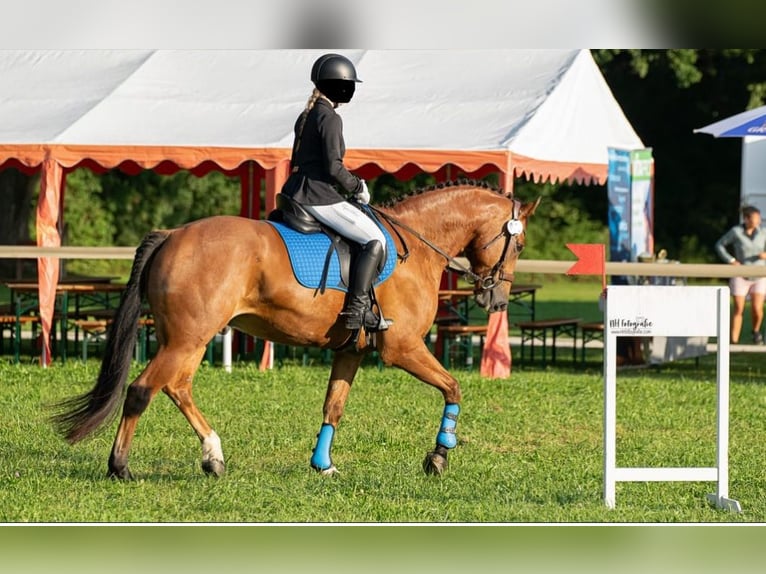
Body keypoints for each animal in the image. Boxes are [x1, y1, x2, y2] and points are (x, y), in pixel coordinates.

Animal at [51, 180, 544, 482]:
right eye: (518, 243)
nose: (497, 302)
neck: (416, 246)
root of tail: (172, 234)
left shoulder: (352, 351)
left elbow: (333, 407)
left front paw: (322, 465)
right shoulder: (402, 348)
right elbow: (454, 387)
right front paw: (439, 456)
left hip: (190, 338)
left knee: (177, 387)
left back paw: (213, 457)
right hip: (187, 337)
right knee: (142, 390)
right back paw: (120, 467)